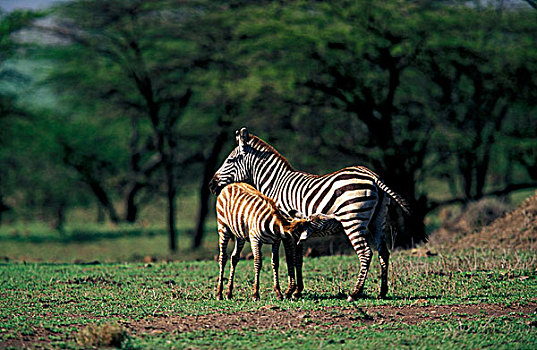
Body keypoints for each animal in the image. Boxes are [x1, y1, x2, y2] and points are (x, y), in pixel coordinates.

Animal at [207, 129, 408, 300]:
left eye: (230, 161)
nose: (211, 185)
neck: (275, 183)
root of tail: (373, 175)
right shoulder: (298, 229)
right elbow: (298, 258)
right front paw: (297, 291)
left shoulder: (285, 227)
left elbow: (289, 258)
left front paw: (289, 291)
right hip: (377, 221)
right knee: (383, 252)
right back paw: (382, 292)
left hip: (352, 220)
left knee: (365, 253)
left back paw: (355, 293)